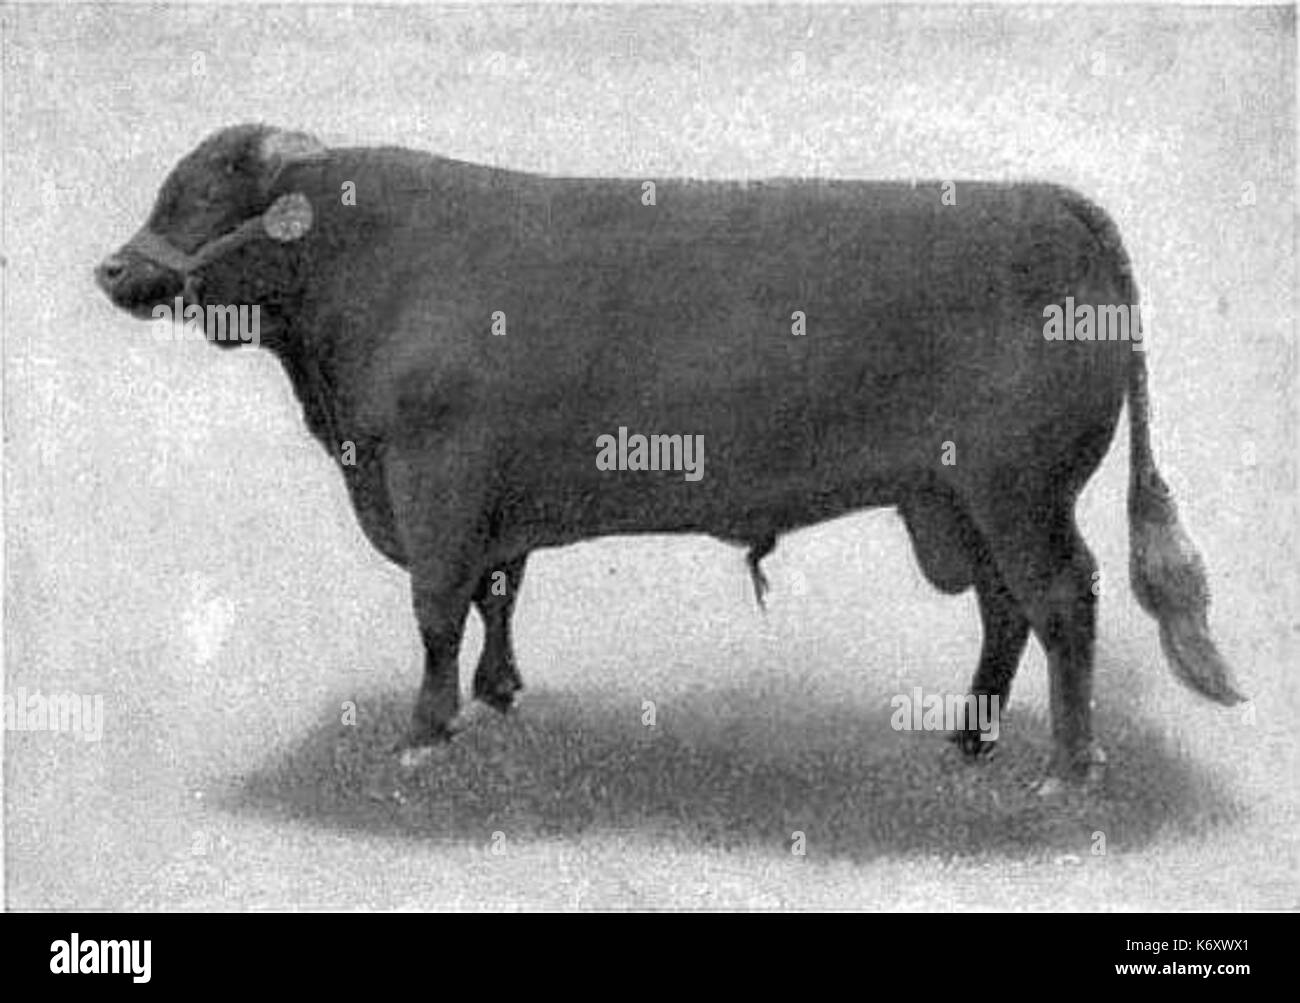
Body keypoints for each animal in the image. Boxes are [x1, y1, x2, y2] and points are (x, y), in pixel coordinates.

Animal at [95, 124, 1243, 788]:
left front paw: (426, 730)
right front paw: (500, 694)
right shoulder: (492, 498)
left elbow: (434, 607)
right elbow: (497, 594)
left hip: (1021, 490)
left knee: (1064, 598)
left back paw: (1069, 769)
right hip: (956, 495)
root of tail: (1050, 197)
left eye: (199, 196)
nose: (110, 270)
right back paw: (968, 736)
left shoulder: (433, 482)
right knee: (1006, 608)